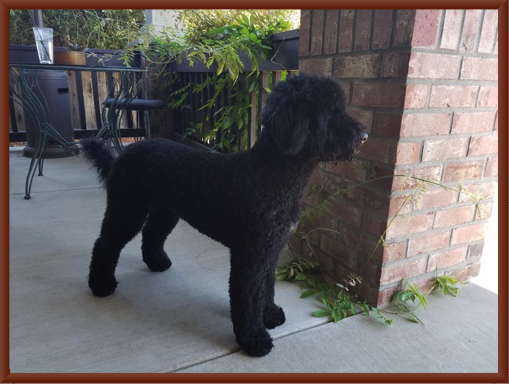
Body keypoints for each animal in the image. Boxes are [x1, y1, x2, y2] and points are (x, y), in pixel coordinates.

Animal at [81, 74, 368, 356]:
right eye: (329, 112)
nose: (364, 135)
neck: (269, 175)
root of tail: (123, 153)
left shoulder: (270, 250)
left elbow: (267, 287)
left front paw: (269, 315)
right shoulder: (249, 255)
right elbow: (248, 296)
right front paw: (253, 339)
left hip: (165, 211)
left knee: (152, 235)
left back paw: (157, 263)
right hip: (127, 209)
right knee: (104, 244)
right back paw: (101, 284)